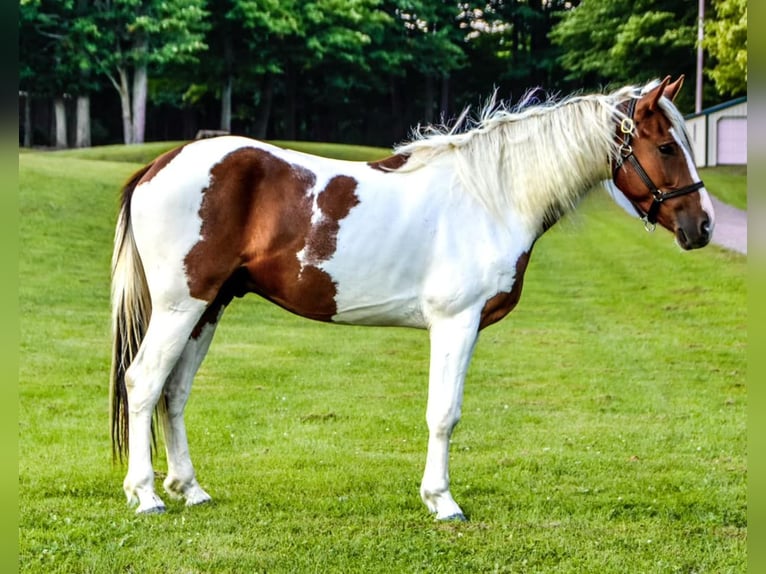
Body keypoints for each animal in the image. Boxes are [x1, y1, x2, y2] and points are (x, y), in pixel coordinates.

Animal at [110, 76, 714, 520]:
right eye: (666, 146)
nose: (703, 226)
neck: (490, 198)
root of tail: (158, 165)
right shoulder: (456, 322)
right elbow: (444, 414)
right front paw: (442, 502)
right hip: (180, 307)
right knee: (143, 384)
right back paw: (146, 495)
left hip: (208, 308)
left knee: (174, 393)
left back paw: (190, 489)